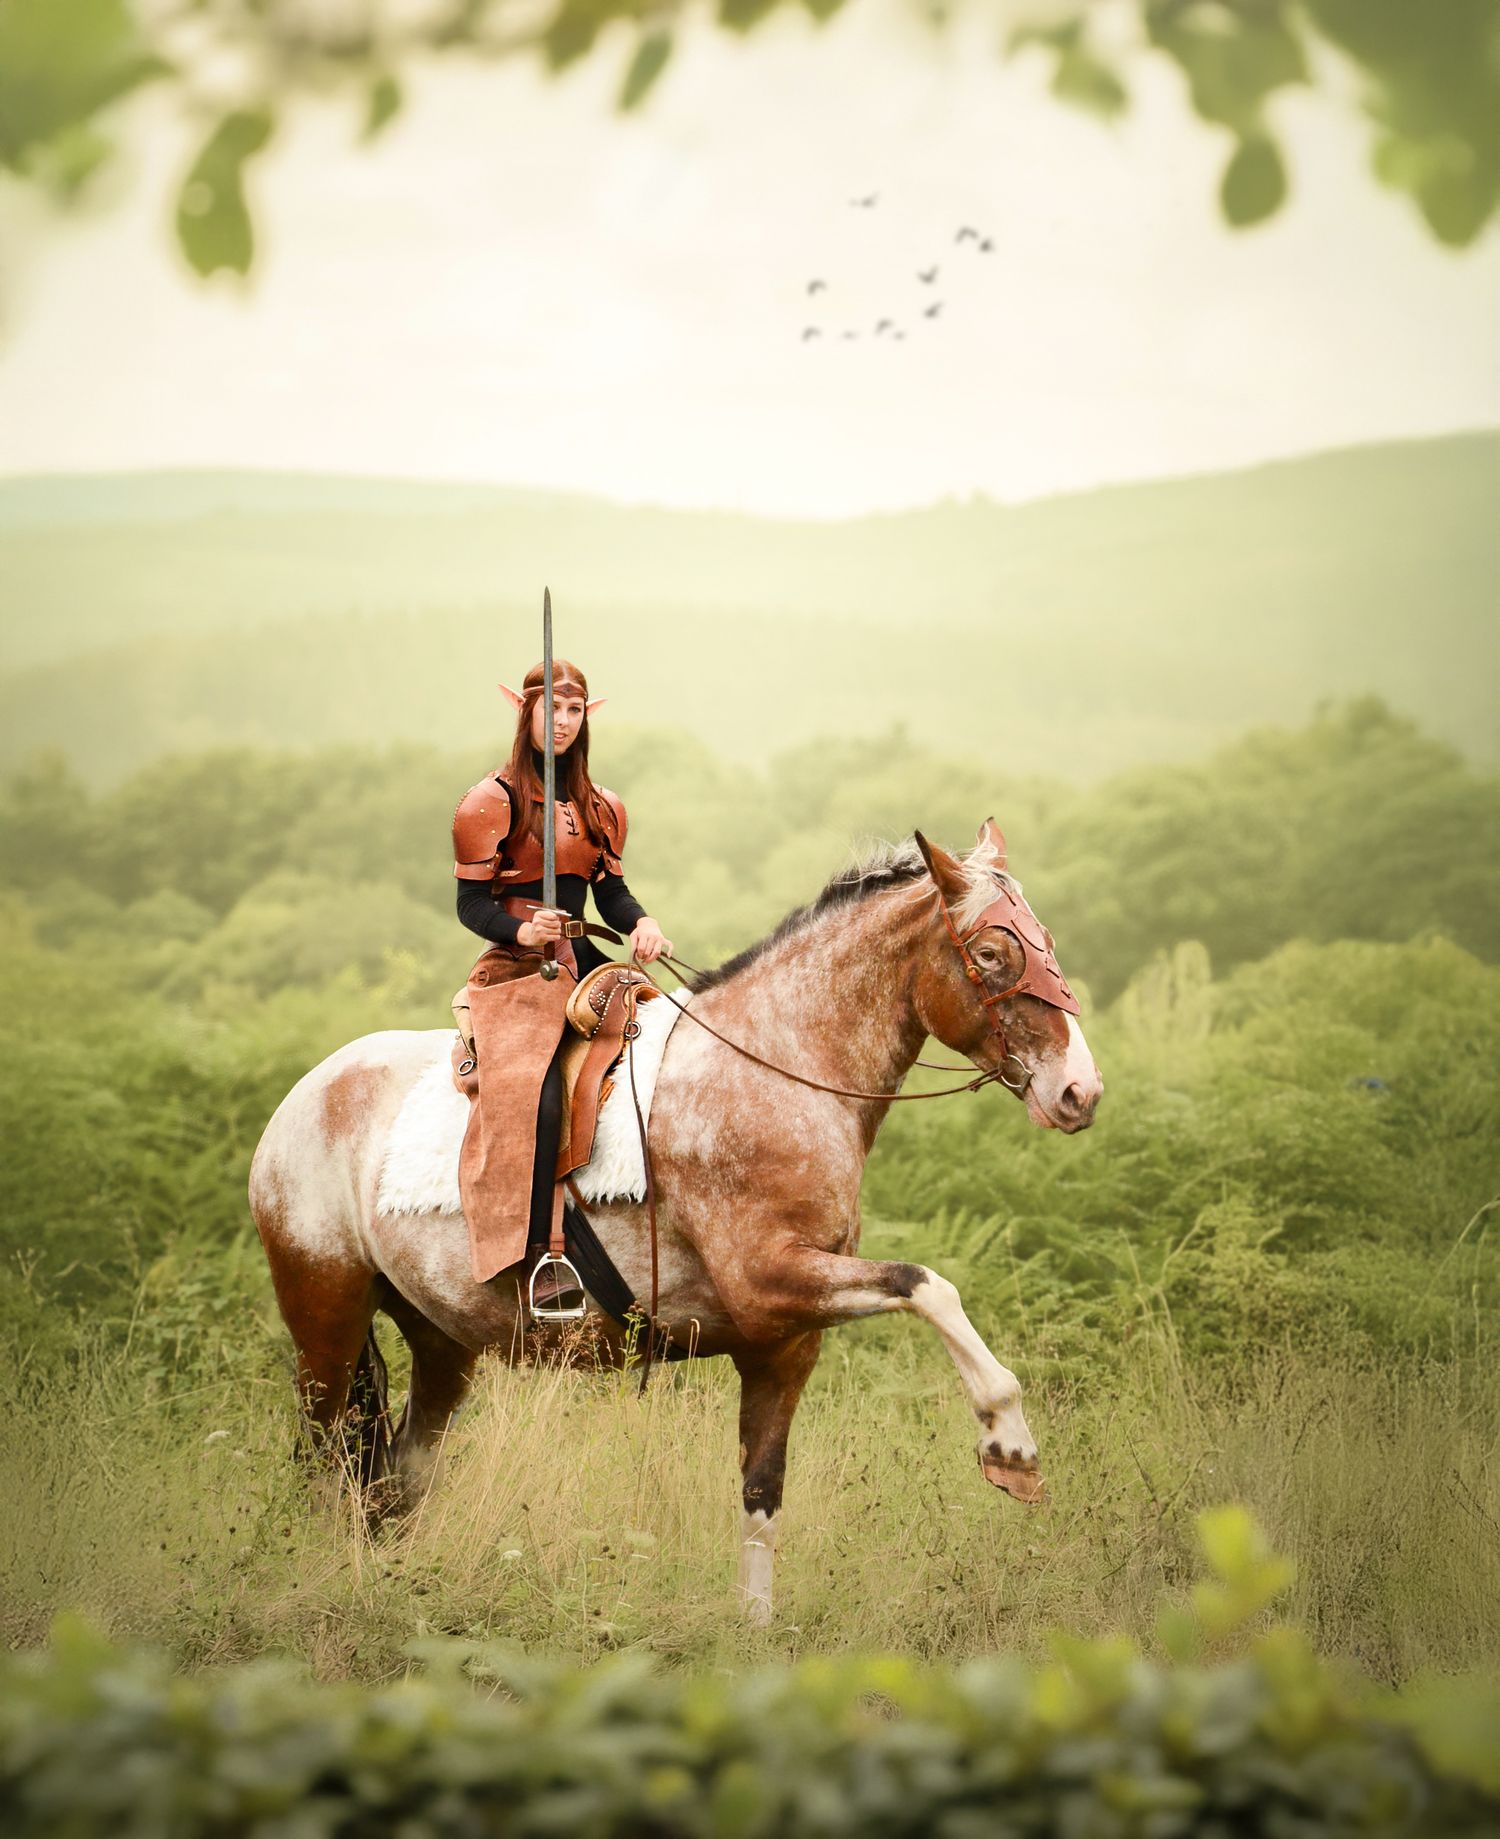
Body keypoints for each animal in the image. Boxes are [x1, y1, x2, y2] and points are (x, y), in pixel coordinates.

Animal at [248, 821, 1102, 1621]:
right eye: (991, 952)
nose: (1079, 1092)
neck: (777, 1068)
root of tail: (301, 1098)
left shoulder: (784, 1340)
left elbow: (762, 1490)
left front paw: (755, 1627)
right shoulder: (771, 1280)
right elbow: (929, 1286)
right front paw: (1010, 1442)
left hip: (440, 1343)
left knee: (396, 1482)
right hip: (325, 1320)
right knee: (330, 1464)